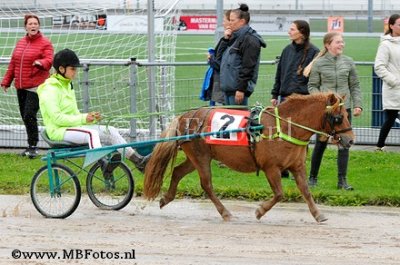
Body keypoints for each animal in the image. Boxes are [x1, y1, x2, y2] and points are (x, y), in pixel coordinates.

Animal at [143, 92, 354, 222]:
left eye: (346, 114)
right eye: (339, 117)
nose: (350, 140)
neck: (284, 126)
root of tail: (185, 116)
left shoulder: (297, 167)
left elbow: (306, 191)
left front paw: (318, 214)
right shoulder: (271, 168)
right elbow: (279, 193)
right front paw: (260, 211)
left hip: (197, 157)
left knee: (178, 172)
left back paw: (166, 198)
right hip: (201, 156)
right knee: (207, 185)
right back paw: (226, 213)